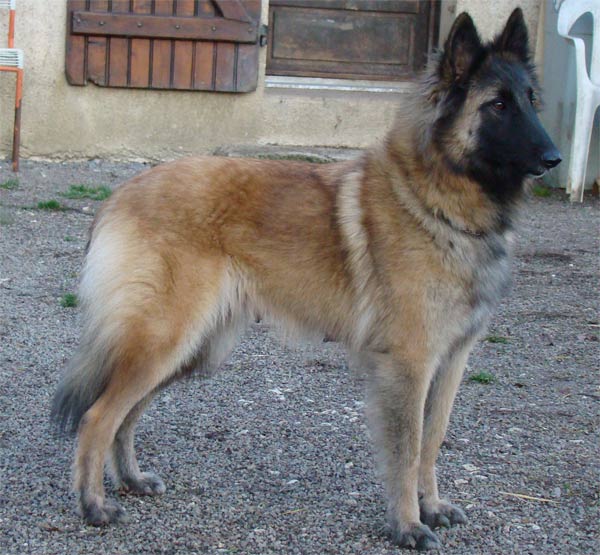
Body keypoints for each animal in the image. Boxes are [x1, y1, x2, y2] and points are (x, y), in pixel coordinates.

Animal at [52, 8, 560, 550]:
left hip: (192, 350)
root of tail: (121, 191)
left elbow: (432, 440)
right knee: (97, 415)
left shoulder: (451, 361)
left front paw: (432, 507)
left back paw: (130, 479)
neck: (435, 204)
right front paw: (407, 524)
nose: (554, 158)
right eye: (497, 105)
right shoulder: (409, 364)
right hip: (166, 340)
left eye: (531, 100)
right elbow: (405, 450)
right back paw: (93, 505)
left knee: (124, 415)